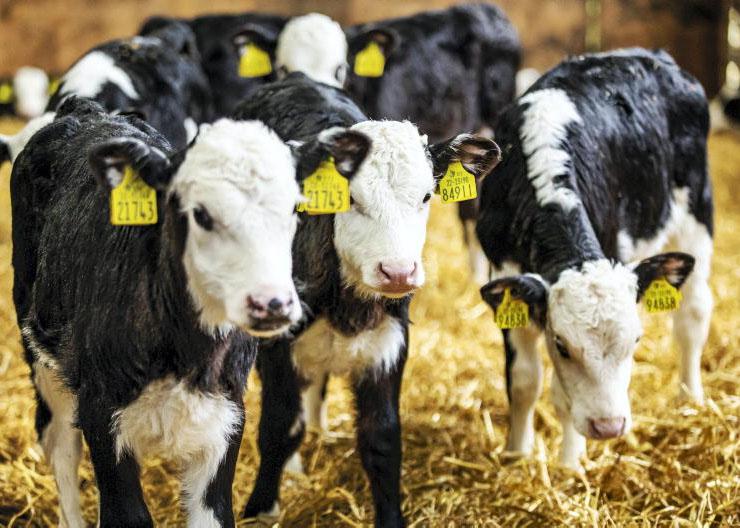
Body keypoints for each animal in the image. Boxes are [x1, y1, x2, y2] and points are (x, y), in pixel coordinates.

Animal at [10, 96, 303, 527]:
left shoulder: (227, 415)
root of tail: (87, 110)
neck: (186, 355)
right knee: (60, 445)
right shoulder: (100, 411)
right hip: (42, 353)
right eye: (201, 214)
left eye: (293, 210)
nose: (273, 302)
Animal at [231, 72, 501, 527]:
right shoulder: (279, 346)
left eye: (426, 197)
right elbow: (279, 426)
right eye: (352, 199)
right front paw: (261, 508)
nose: (398, 272)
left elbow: (382, 439)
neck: (348, 305)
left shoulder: (389, 348)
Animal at [476, 48, 712, 471]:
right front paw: (516, 453)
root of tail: (652, 56)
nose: (608, 426)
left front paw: (570, 465)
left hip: (696, 212)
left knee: (692, 315)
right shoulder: (504, 274)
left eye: (636, 340)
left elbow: (563, 398)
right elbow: (523, 380)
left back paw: (690, 398)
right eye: (562, 345)